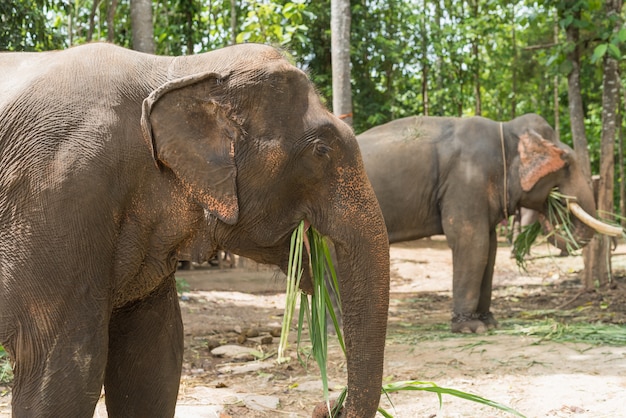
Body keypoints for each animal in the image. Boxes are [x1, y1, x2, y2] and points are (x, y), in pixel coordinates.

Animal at [0, 43, 388, 418]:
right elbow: (62, 368)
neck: (181, 68)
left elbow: (154, 358)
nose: (329, 405)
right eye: (321, 150)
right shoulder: (60, 193)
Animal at [354, 113, 616, 334]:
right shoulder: (466, 181)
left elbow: (490, 249)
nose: (554, 203)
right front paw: (470, 328)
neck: (507, 131)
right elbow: (472, 243)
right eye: (567, 164)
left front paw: (489, 323)